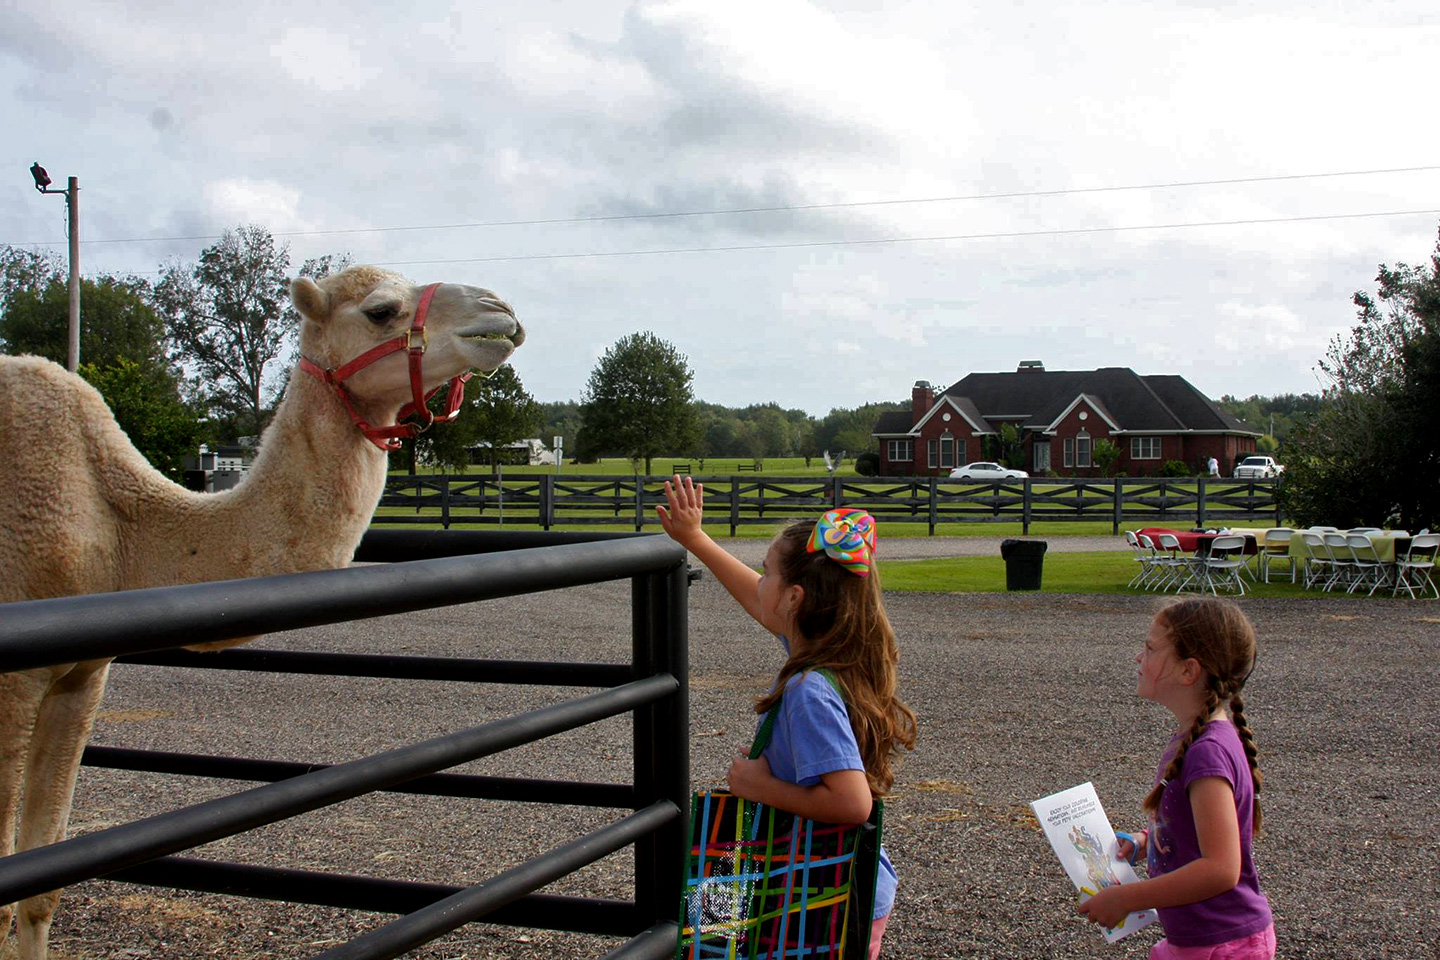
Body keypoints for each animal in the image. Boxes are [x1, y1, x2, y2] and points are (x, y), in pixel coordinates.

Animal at [0, 264, 527, 960]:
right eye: (381, 310)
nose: (499, 311)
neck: (118, 526)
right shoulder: (11, 684)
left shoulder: (81, 677)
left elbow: (39, 890)